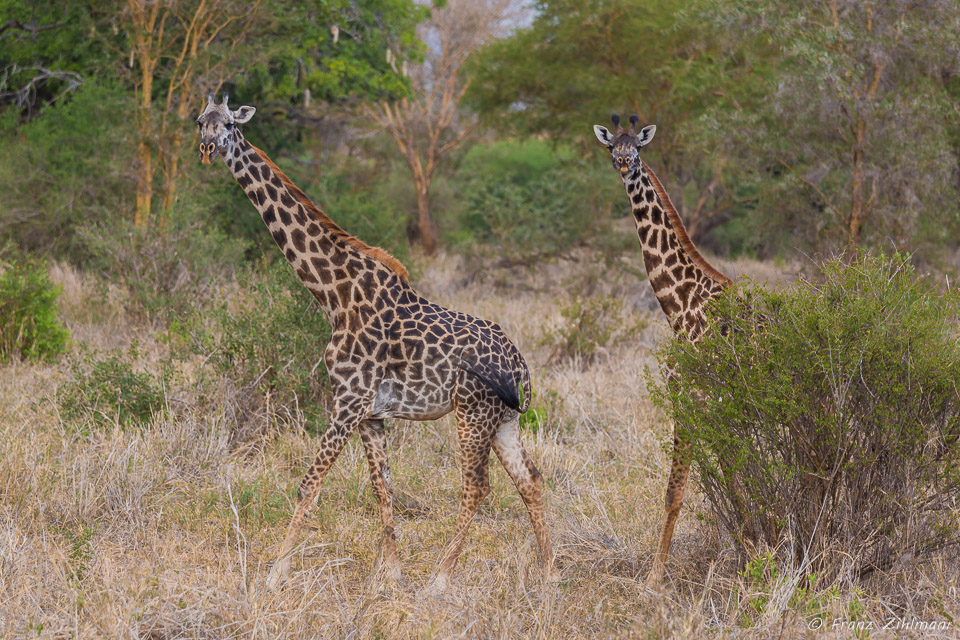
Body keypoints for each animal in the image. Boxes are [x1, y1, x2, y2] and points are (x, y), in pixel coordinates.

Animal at [195, 96, 556, 596]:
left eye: (229, 123)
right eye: (200, 122)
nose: (208, 148)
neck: (335, 294)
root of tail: (521, 366)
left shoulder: (347, 401)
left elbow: (309, 483)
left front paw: (274, 574)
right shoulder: (370, 412)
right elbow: (381, 485)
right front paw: (391, 573)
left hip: (472, 413)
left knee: (477, 487)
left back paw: (441, 579)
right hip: (504, 421)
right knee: (530, 479)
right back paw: (548, 572)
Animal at [592, 114, 736, 584]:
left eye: (637, 147)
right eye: (611, 146)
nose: (623, 162)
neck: (680, 304)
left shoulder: (693, 397)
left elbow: (676, 491)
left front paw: (655, 576)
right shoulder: (704, 401)